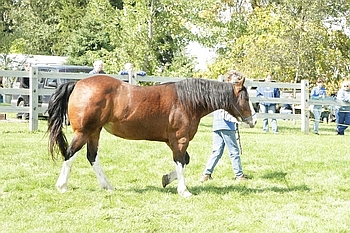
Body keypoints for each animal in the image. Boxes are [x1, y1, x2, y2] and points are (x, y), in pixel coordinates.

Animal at [47, 71, 256, 197]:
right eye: (246, 97)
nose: (253, 120)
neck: (188, 101)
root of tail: (77, 83)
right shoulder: (180, 140)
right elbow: (181, 162)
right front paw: (184, 190)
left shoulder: (173, 141)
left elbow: (184, 161)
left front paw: (166, 179)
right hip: (83, 132)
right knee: (70, 154)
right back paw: (62, 186)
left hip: (94, 132)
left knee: (92, 157)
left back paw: (107, 186)